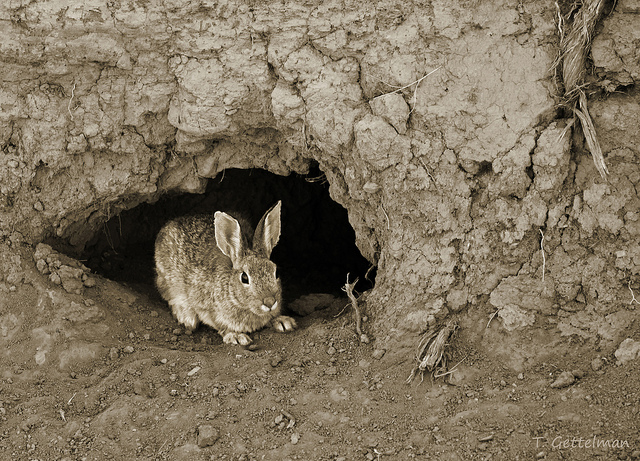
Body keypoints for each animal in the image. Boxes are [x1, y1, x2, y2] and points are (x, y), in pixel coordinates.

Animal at [154, 200, 296, 345]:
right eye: (244, 278)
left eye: (276, 273)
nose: (269, 302)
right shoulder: (207, 308)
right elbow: (220, 325)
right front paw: (236, 336)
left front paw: (283, 322)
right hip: (168, 281)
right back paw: (187, 318)